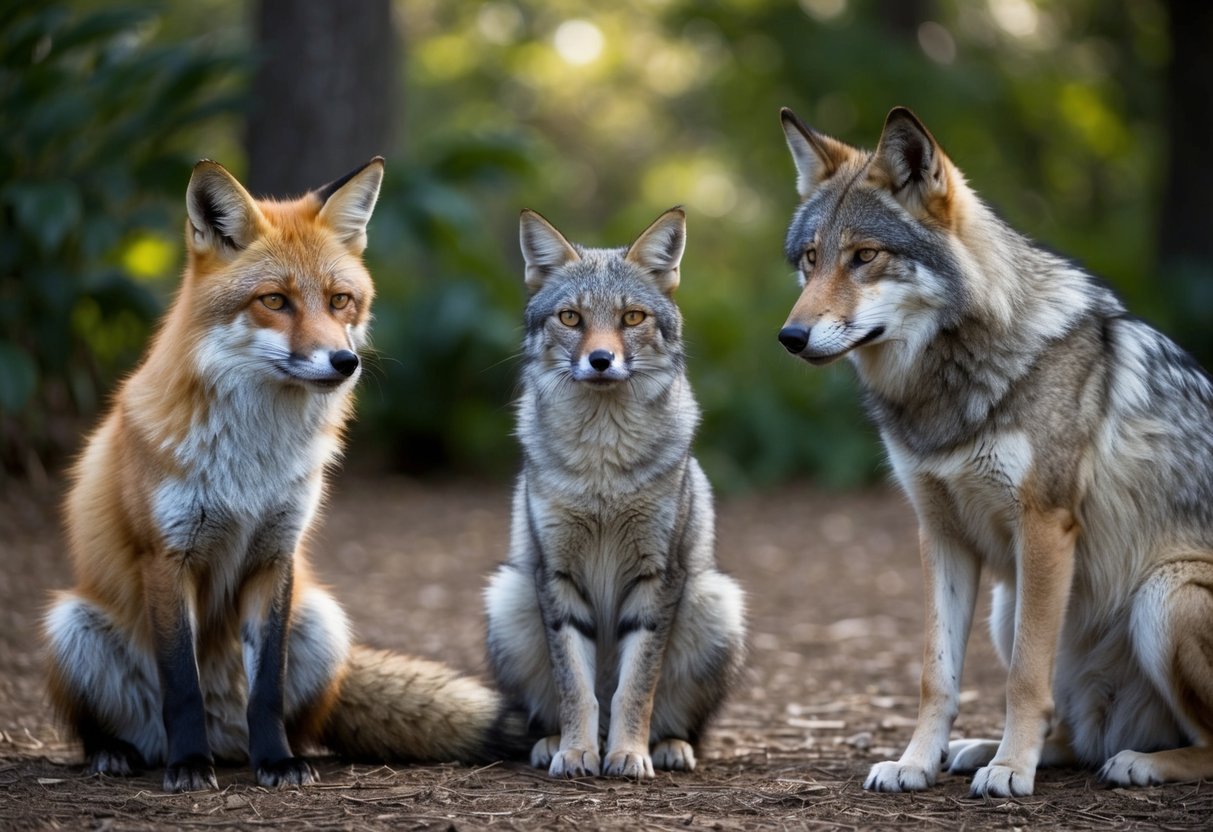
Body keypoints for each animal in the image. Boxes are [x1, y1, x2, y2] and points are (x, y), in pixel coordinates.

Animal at [43, 158, 521, 793]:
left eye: (341, 300)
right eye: (275, 300)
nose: (345, 362)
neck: (251, 464)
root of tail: (226, 740)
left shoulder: (276, 553)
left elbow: (266, 685)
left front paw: (276, 762)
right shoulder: (167, 558)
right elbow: (181, 686)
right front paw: (188, 765)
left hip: (322, 622)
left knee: (286, 717)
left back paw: (260, 751)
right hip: (70, 623)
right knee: (104, 725)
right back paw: (122, 753)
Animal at [483, 208, 747, 780]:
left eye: (631, 318)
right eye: (570, 318)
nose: (601, 360)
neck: (602, 471)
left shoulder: (657, 576)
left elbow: (635, 688)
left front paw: (627, 753)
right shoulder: (557, 575)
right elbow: (576, 688)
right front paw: (578, 751)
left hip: (714, 603)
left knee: (678, 718)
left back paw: (667, 746)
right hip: (509, 599)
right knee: (545, 709)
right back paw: (553, 743)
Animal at [776, 106, 1213, 797]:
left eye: (865, 257)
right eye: (812, 259)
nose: (790, 337)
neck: (946, 387)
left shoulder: (1044, 528)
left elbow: (1024, 679)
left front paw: (1010, 771)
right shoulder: (939, 531)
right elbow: (936, 675)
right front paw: (915, 762)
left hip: (1161, 593)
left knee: (1192, 742)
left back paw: (1136, 762)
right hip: (1009, 608)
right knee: (1077, 735)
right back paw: (985, 749)